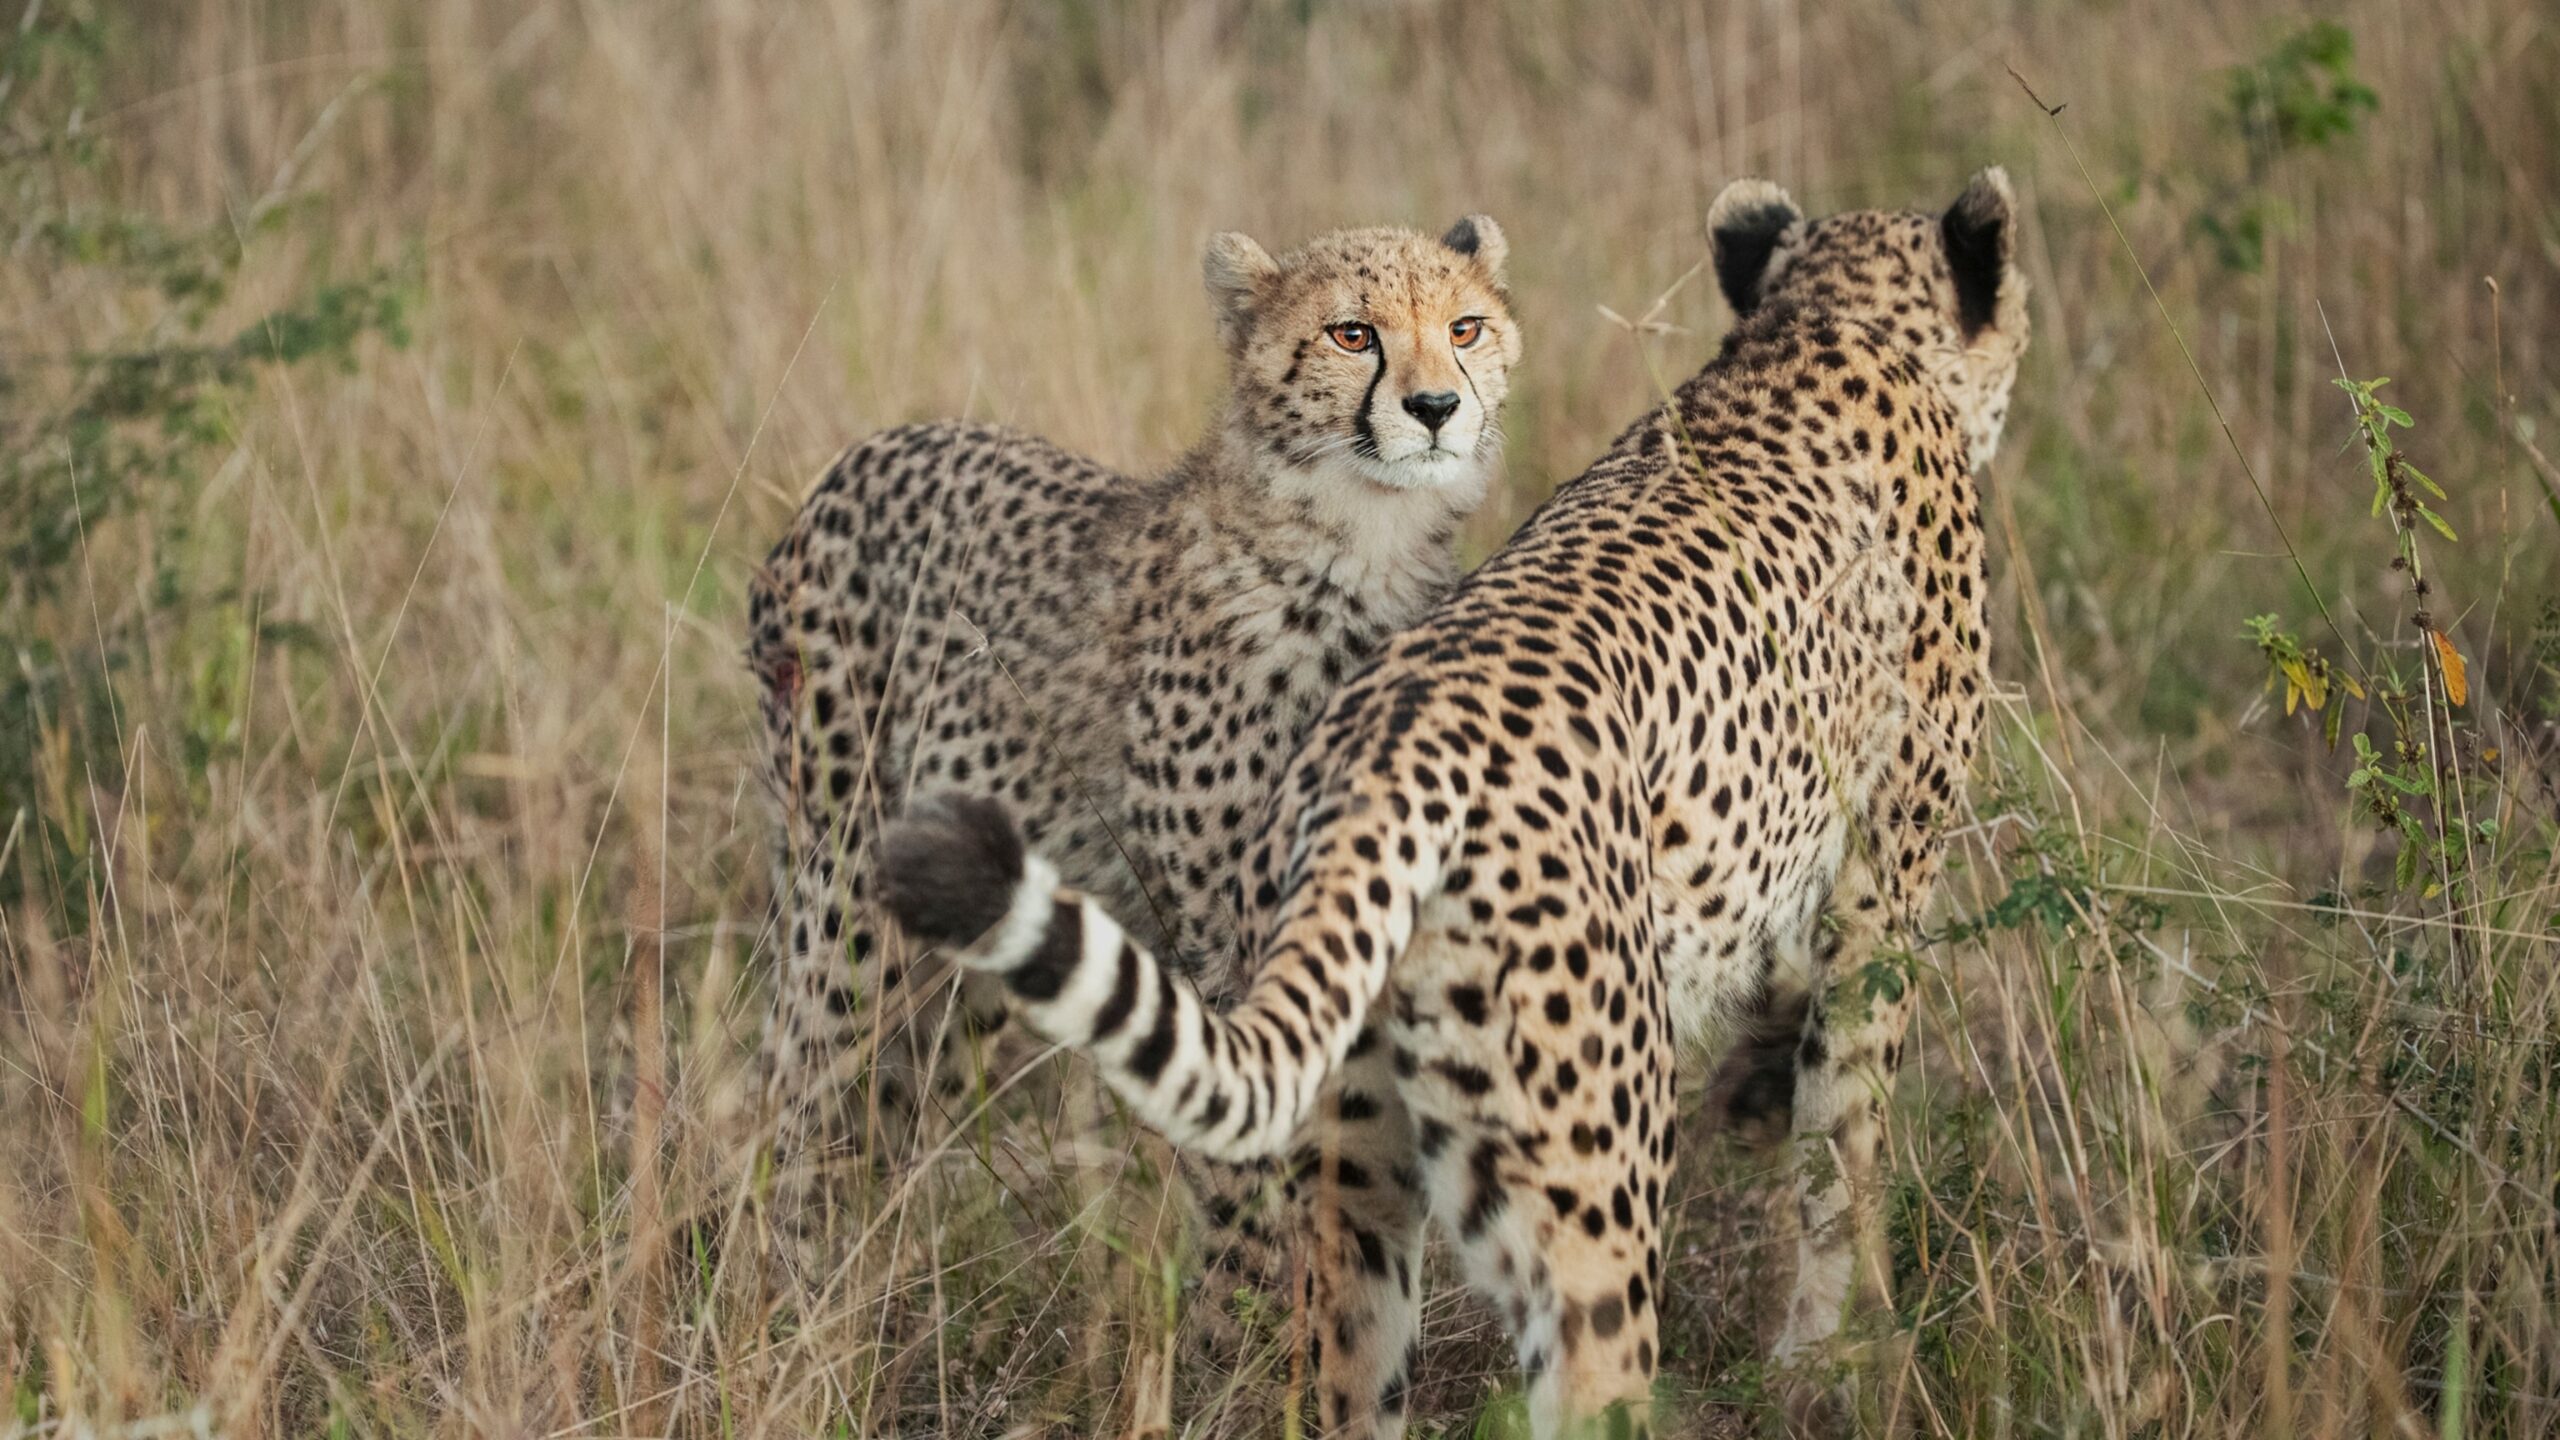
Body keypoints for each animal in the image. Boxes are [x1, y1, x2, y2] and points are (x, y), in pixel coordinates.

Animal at [752, 215, 1515, 1255]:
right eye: (1353, 334)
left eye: (1466, 327)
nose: (1436, 406)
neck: (1365, 544)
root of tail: (861, 454)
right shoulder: (1226, 947)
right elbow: (1246, 1152)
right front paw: (1252, 1293)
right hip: (843, 893)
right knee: (797, 1085)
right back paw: (785, 1272)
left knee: (888, 1101)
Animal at [885, 170, 2037, 1434]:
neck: (1827, 327)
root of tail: (1387, 749)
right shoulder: (1879, 888)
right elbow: (1846, 1138)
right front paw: (1837, 1353)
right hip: (1581, 1172)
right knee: (1592, 1370)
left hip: (1356, 1176)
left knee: (1343, 1369)